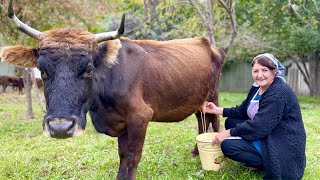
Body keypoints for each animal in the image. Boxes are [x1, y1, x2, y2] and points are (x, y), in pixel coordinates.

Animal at [0, 0, 225, 179]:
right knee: (201, 122)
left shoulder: (140, 116)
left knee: (213, 121)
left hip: (213, 95)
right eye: (42, 70)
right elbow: (122, 155)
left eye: (89, 69)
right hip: (197, 100)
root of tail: (207, 43)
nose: (60, 127)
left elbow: (133, 157)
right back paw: (195, 151)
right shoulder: (121, 122)